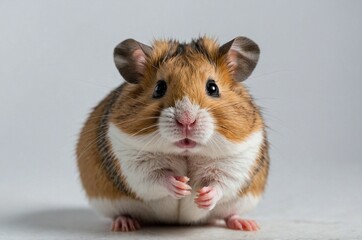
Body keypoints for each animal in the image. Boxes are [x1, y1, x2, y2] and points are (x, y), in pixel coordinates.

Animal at [76, 36, 268, 232]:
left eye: (213, 88)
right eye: (159, 88)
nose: (186, 121)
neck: (186, 152)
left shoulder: (237, 159)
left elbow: (221, 183)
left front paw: (202, 196)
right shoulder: (131, 160)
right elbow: (157, 177)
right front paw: (182, 186)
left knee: (229, 213)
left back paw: (246, 225)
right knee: (121, 213)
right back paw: (124, 224)